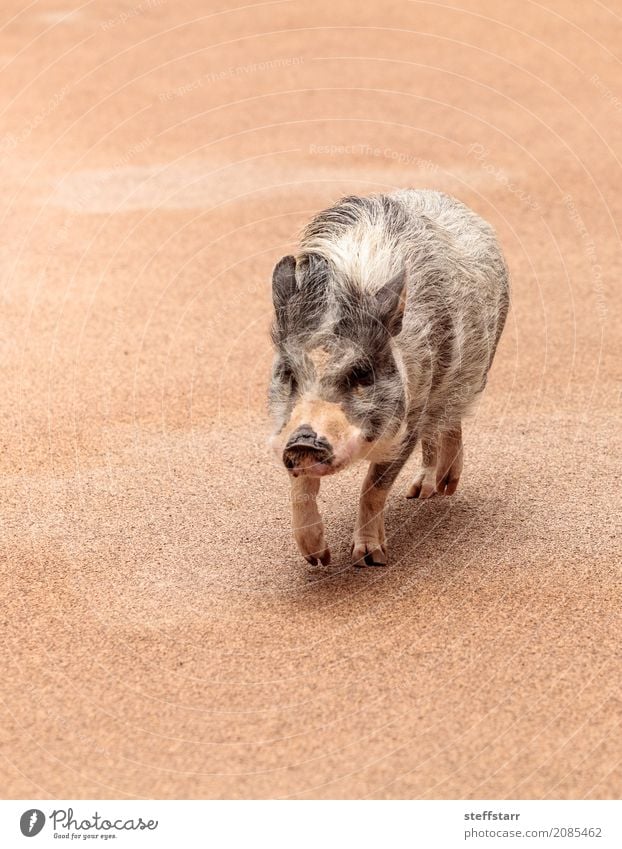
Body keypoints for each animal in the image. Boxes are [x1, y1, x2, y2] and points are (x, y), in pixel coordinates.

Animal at [270, 189, 512, 568]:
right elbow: (300, 487)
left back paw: (440, 489)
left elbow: (374, 485)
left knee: (448, 418)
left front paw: (369, 560)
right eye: (288, 373)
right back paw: (422, 493)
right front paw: (318, 559)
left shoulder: (412, 412)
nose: (305, 441)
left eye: (361, 372)